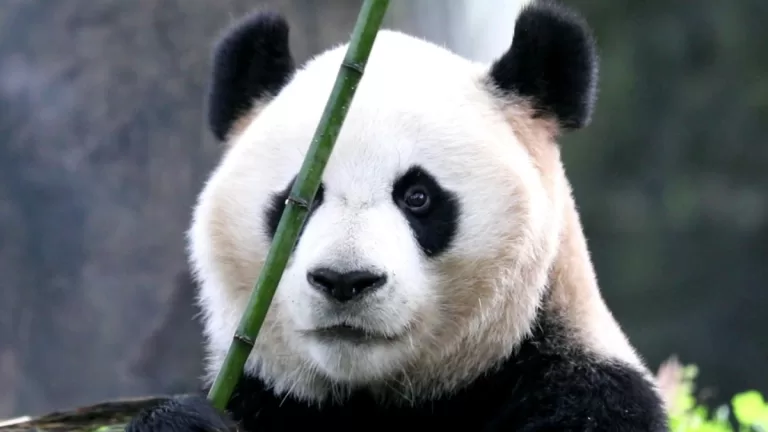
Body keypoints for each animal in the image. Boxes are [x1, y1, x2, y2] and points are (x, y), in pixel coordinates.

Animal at [127, 0, 669, 430]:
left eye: (417, 197)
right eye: (301, 198)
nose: (344, 281)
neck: (377, 396)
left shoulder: (582, 391)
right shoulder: (267, 394)